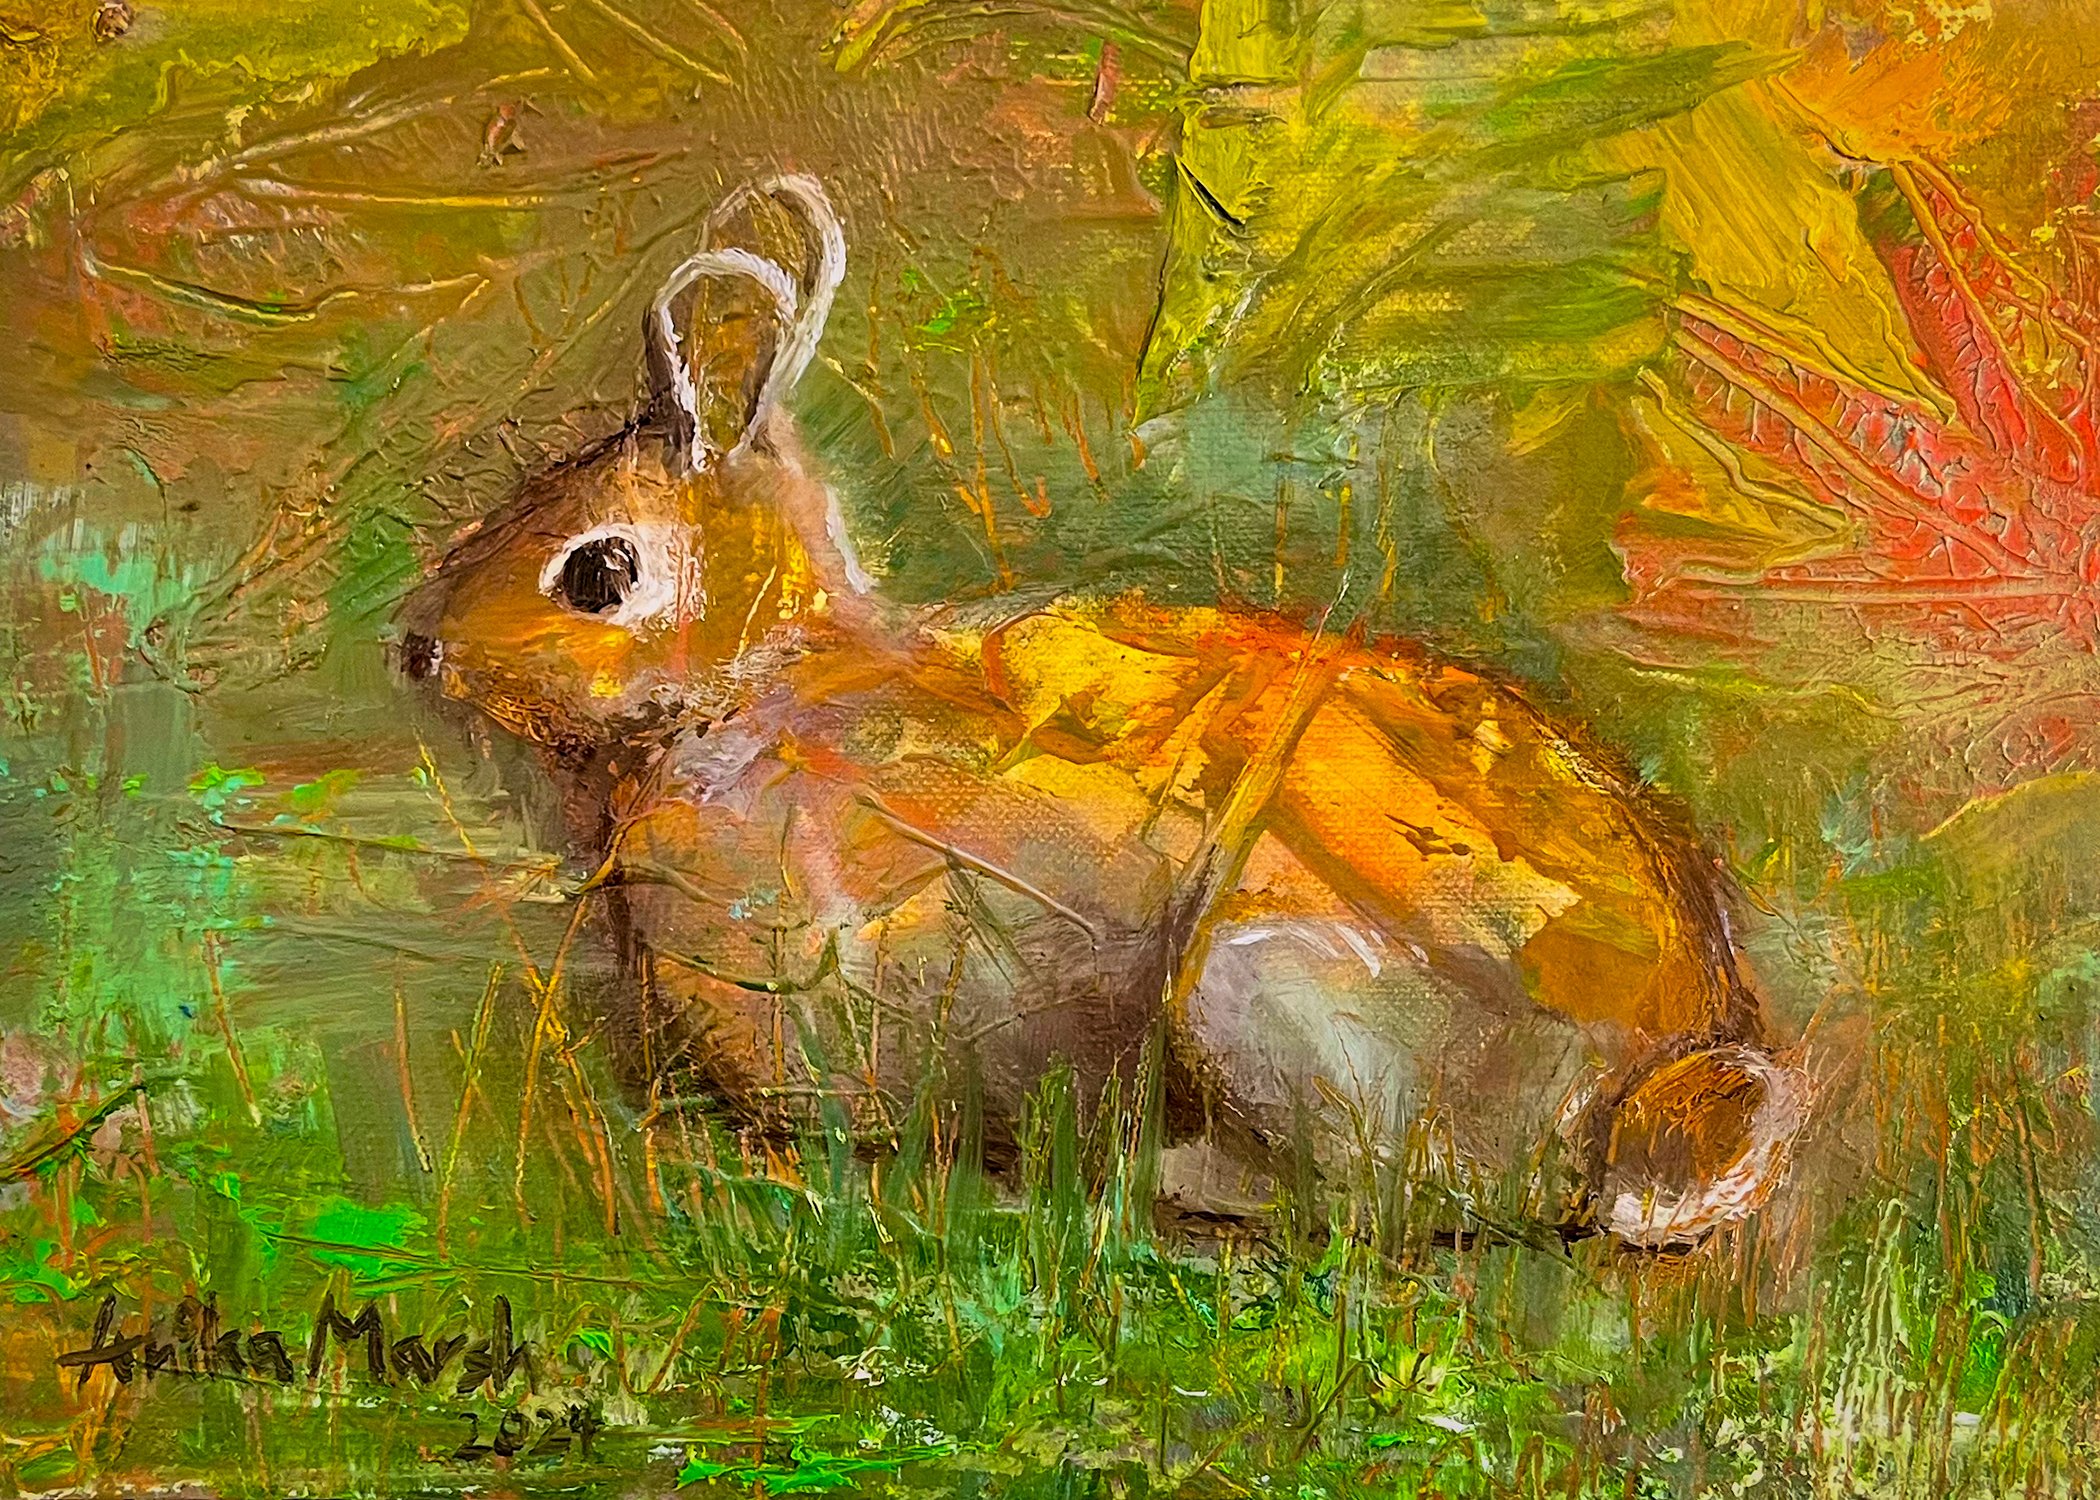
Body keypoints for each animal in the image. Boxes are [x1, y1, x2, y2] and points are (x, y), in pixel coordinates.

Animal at [397, 175, 1808, 1249]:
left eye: (599, 574)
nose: (417, 650)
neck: (761, 686)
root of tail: (1648, 1093)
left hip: (1261, 995)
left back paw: (1168, 1180)